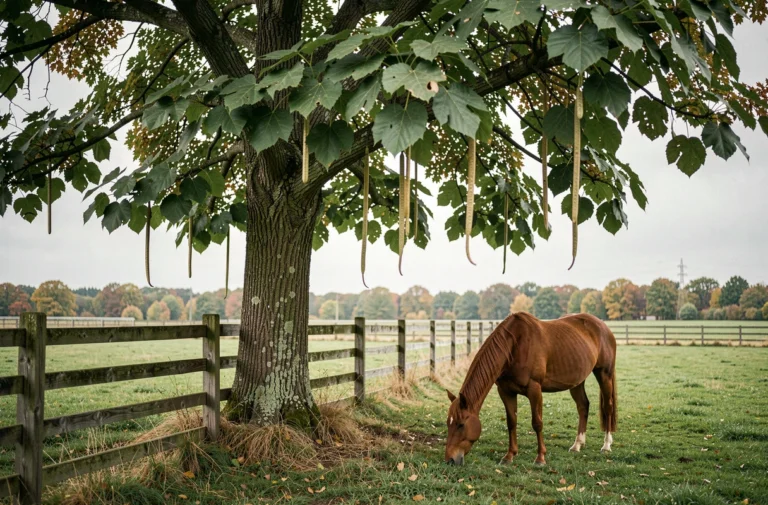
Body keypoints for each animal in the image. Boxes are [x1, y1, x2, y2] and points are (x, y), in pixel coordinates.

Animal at [444, 312, 617, 466]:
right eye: (448, 423)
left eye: (461, 424)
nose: (450, 459)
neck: (514, 345)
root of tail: (603, 326)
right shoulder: (505, 391)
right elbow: (511, 422)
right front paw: (509, 456)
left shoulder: (534, 390)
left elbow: (537, 423)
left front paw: (540, 458)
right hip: (577, 381)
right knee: (583, 406)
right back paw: (577, 445)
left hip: (604, 374)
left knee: (607, 407)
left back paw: (606, 445)